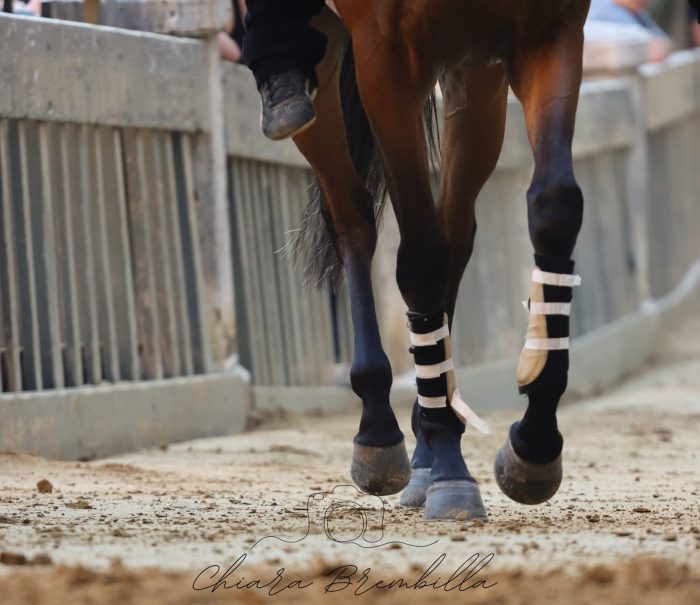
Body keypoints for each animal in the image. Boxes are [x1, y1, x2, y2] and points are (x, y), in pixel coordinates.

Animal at [289, 0, 591, 520]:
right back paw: (379, 428)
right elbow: (421, 258)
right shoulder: (385, 57)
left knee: (455, 229)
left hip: (473, 75)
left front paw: (533, 445)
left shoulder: (547, 31)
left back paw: (425, 448)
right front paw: (449, 463)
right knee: (352, 216)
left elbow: (555, 204)